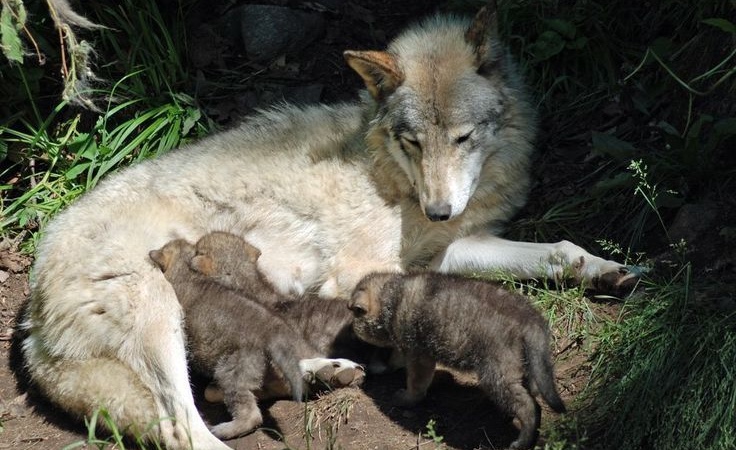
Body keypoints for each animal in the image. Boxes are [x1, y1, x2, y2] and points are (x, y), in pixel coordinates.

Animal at [348, 271, 566, 450]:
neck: (392, 296)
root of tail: (530, 319)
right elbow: (397, 358)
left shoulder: (418, 354)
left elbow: (415, 383)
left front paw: (407, 397)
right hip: (527, 365)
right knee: (532, 391)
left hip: (497, 374)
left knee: (530, 406)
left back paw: (523, 441)